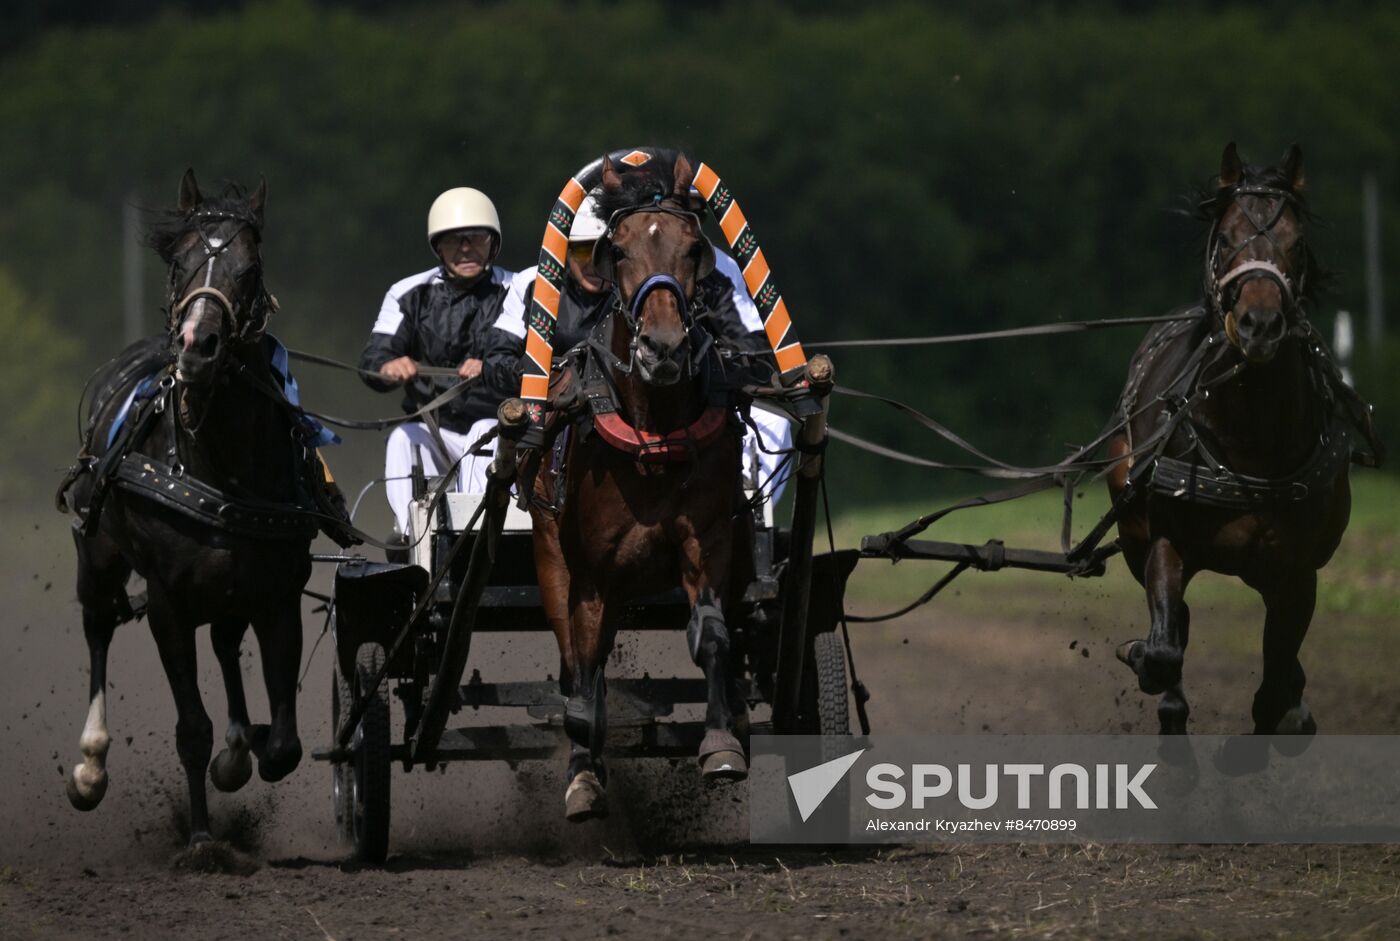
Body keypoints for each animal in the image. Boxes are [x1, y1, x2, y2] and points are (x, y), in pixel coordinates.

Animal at [58, 170, 316, 845]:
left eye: (250, 269)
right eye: (178, 263)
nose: (199, 345)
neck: (215, 460)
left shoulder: (278, 592)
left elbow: (284, 745)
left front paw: (246, 750)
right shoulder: (168, 602)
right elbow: (191, 729)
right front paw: (201, 838)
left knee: (224, 643)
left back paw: (238, 744)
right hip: (99, 556)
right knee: (98, 627)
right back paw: (90, 766)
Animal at [529, 150, 756, 817]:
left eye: (693, 248)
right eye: (621, 250)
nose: (662, 348)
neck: (651, 436)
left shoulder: (707, 541)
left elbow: (711, 636)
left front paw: (721, 745)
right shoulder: (589, 575)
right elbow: (585, 672)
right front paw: (584, 773)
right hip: (550, 557)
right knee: (578, 662)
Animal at [1108, 143, 1383, 739]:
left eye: (1296, 242)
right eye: (1229, 235)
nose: (1260, 323)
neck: (1252, 440)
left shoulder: (1297, 573)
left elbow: (1273, 687)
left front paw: (1290, 712)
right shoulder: (1165, 541)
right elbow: (1164, 651)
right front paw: (1141, 656)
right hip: (1136, 534)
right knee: (1175, 631)